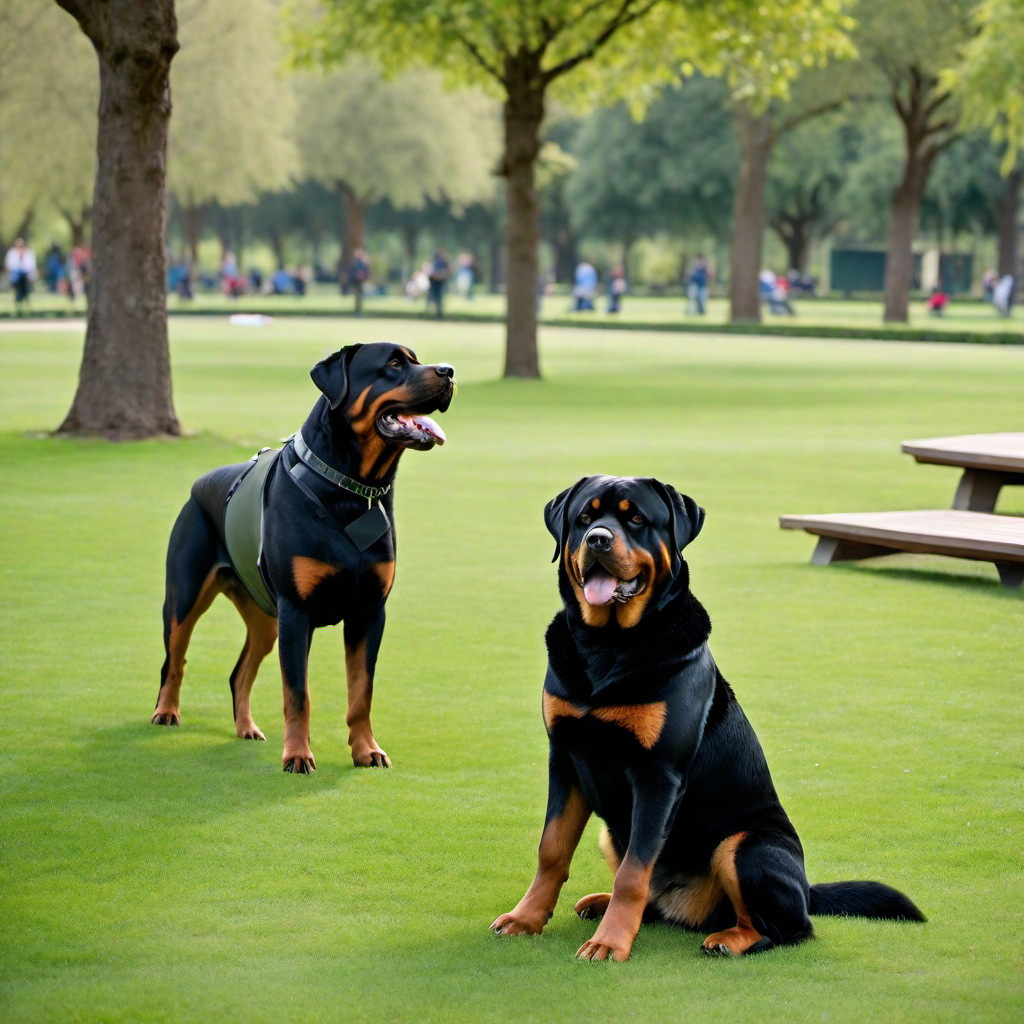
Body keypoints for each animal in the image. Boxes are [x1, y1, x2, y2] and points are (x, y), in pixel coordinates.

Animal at [152, 339, 456, 770]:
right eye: (394, 363)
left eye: (416, 359)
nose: (448, 371)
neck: (352, 490)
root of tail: (200, 484)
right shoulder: (297, 611)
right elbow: (298, 694)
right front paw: (297, 755)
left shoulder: (368, 612)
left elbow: (362, 691)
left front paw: (367, 750)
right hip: (186, 597)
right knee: (174, 660)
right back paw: (166, 712)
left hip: (265, 617)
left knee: (239, 672)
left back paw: (246, 727)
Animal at [491, 477, 925, 958]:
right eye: (585, 517)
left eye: (636, 518)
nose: (597, 540)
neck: (606, 644)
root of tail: (807, 890)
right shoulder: (565, 757)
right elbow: (552, 850)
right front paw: (526, 917)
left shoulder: (658, 775)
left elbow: (632, 874)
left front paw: (610, 942)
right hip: (617, 835)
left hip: (745, 845)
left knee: (787, 927)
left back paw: (729, 940)